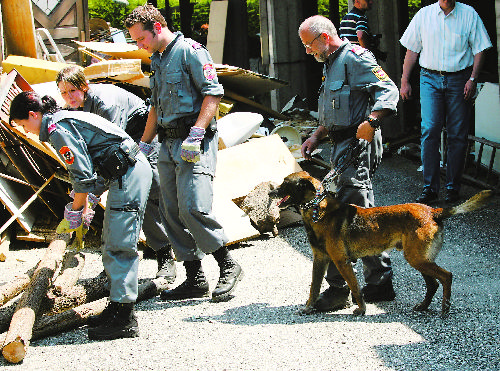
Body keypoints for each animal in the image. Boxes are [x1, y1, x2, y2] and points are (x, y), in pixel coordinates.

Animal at [270, 173, 492, 318]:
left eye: (285, 183)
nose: (271, 190)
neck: (318, 210)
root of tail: (433, 211)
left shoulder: (341, 261)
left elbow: (355, 287)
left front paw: (361, 310)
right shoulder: (320, 260)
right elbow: (314, 288)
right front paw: (309, 308)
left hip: (417, 258)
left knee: (446, 276)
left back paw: (445, 309)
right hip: (419, 258)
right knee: (433, 284)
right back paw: (423, 306)